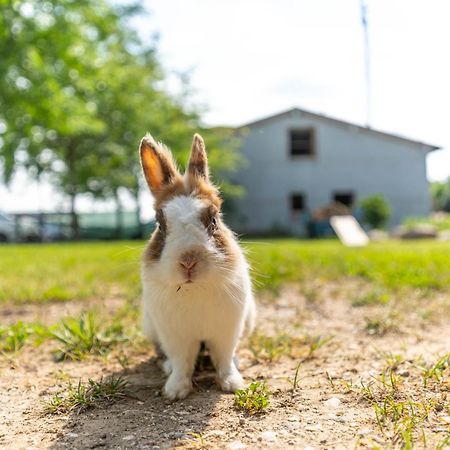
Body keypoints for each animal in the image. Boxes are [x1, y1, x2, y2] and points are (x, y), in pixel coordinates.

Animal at [139, 132, 255, 400]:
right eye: (160, 224)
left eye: (213, 219)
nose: (189, 261)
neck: (194, 288)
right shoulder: (175, 336)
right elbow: (182, 362)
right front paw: (175, 391)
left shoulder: (226, 331)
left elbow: (224, 358)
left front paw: (232, 384)